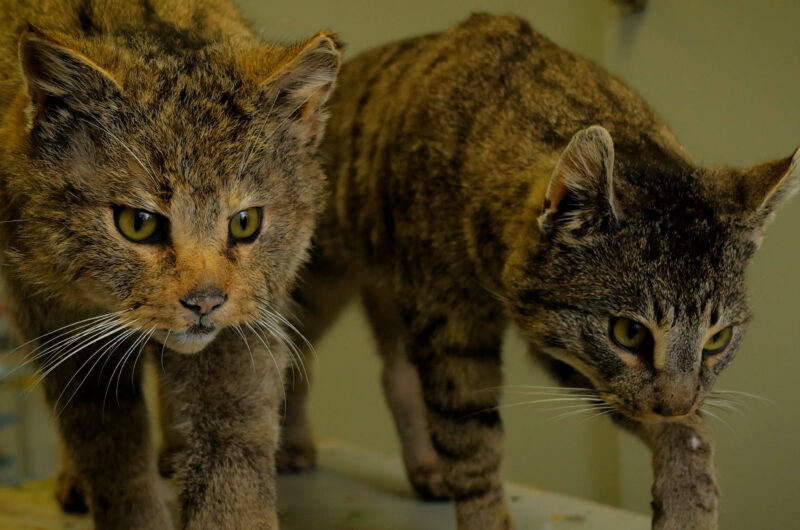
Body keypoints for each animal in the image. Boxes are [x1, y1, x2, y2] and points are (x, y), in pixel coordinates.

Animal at [0, 0, 340, 524]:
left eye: (246, 222)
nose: (205, 301)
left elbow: (232, 445)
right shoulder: (54, 323)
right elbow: (108, 448)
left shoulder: (246, 326)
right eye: (137, 223)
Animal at [282, 11, 800, 528]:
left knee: (394, 373)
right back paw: (293, 443)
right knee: (290, 354)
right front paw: (485, 516)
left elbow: (688, 433)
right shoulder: (451, 327)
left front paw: (689, 500)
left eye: (718, 339)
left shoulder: (563, 347)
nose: (674, 404)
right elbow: (473, 441)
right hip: (312, 287)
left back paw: (424, 467)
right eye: (628, 333)